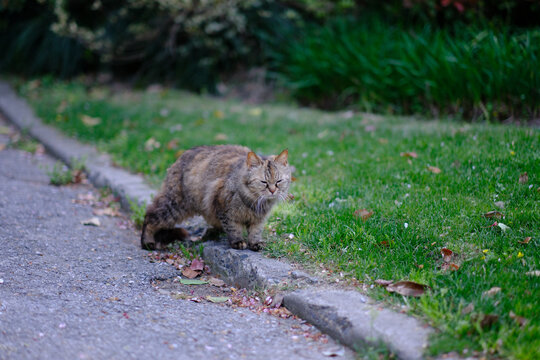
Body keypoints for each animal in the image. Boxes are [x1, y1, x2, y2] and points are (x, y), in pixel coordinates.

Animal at [140, 145, 292, 252]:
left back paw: (211, 233)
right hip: (174, 206)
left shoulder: (258, 219)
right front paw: (237, 242)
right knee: (150, 216)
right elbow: (233, 228)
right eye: (263, 182)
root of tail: (181, 157)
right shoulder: (223, 207)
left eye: (278, 181)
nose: (272, 190)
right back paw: (147, 242)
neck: (254, 203)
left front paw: (255, 243)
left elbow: (255, 232)